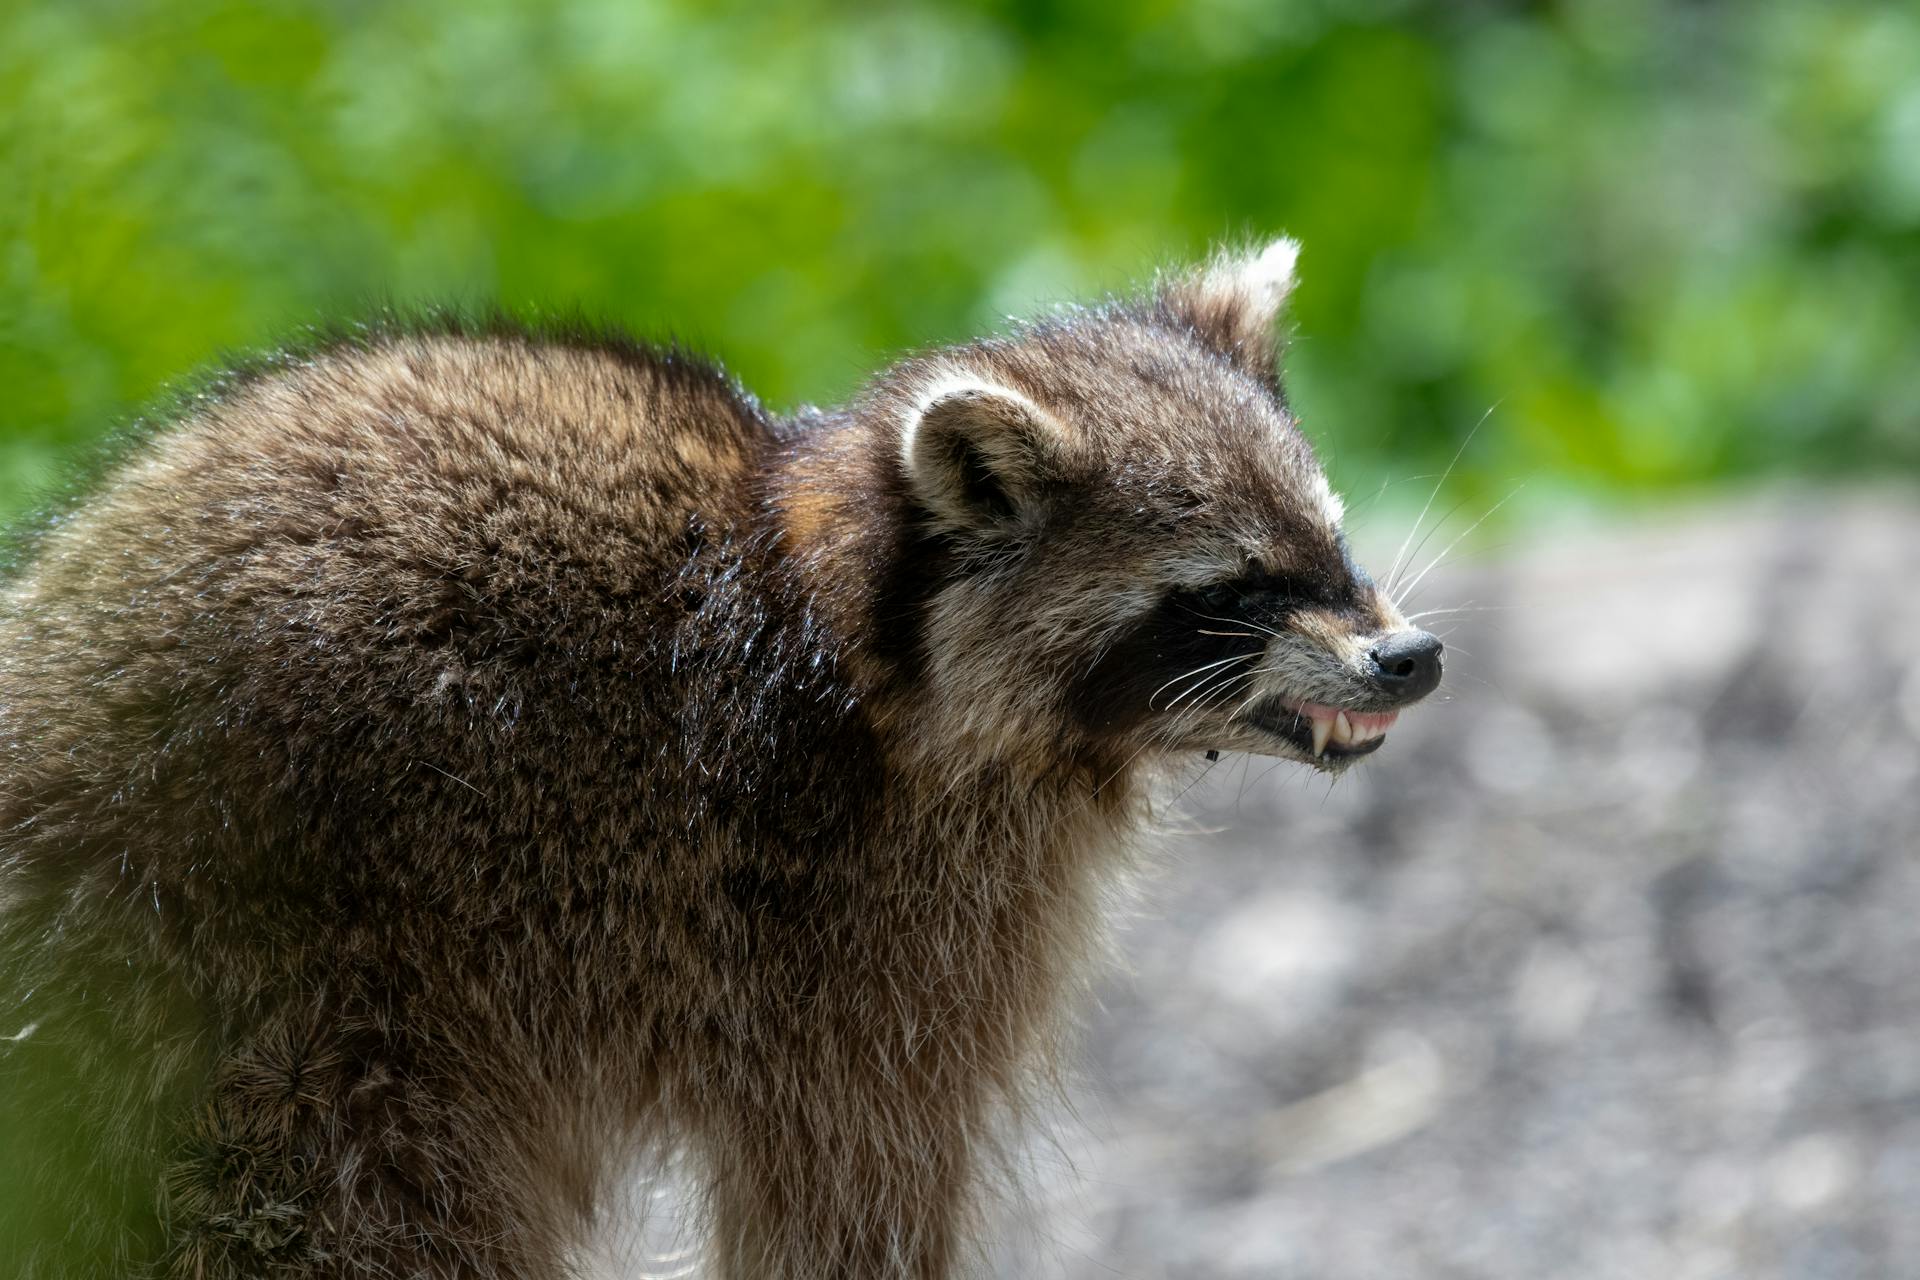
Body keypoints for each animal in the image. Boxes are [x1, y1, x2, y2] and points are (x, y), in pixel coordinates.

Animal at [0, 237, 1436, 1274]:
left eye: (1330, 539)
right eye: (1232, 592)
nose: (1409, 658)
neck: (860, 630)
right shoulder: (854, 920)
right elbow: (848, 1185)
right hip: (270, 979)